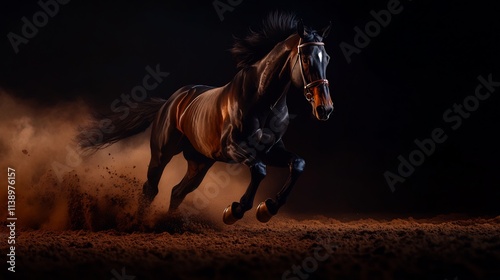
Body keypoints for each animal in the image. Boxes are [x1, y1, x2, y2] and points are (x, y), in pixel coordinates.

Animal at [78, 12, 332, 224]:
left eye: (327, 58)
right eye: (306, 59)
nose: (325, 109)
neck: (264, 103)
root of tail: (170, 103)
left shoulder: (271, 151)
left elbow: (297, 164)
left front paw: (268, 207)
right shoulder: (234, 148)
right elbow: (259, 170)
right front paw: (236, 210)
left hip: (199, 162)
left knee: (177, 191)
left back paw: (171, 224)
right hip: (162, 154)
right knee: (151, 188)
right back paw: (140, 223)